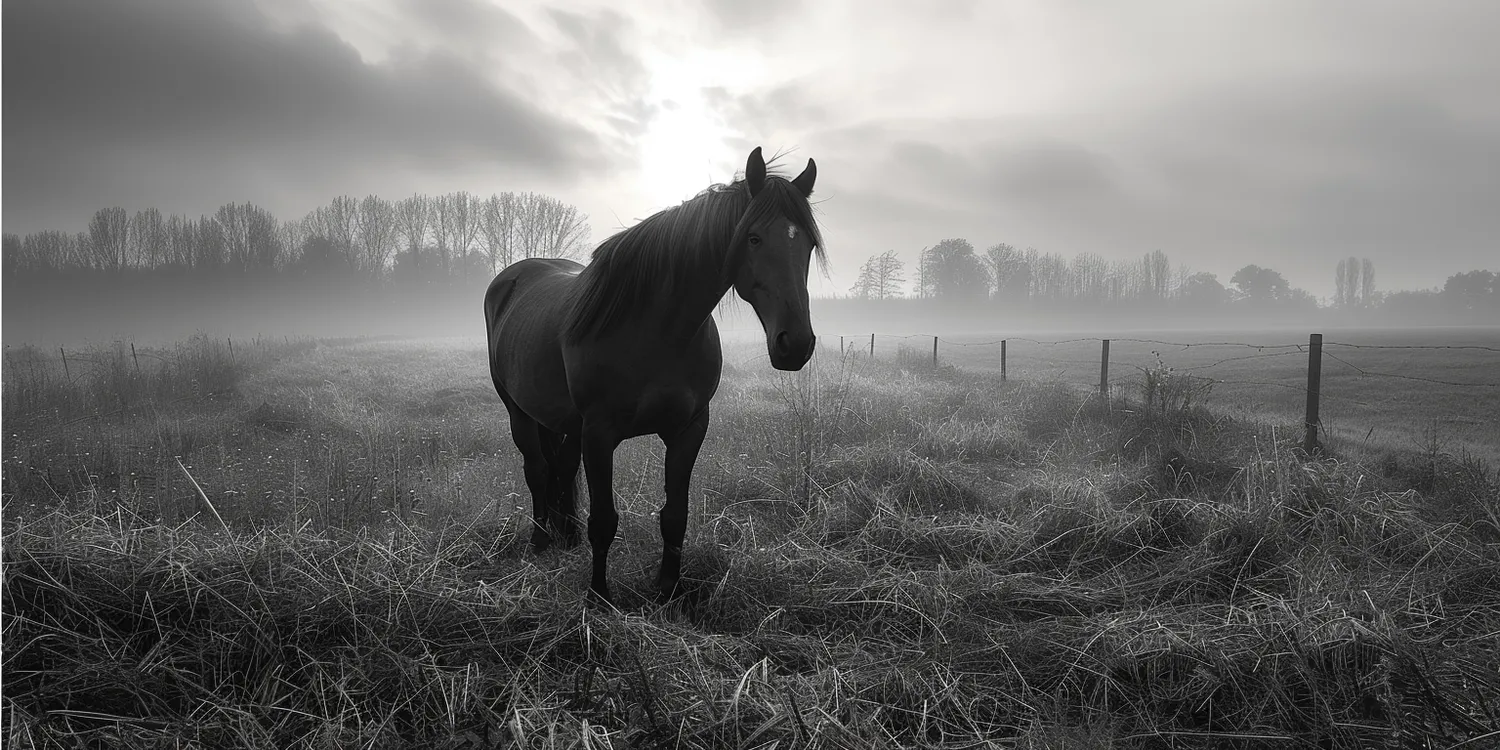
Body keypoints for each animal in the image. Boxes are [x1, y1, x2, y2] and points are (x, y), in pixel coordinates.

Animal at [486, 146, 828, 603]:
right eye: (753, 238)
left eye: (807, 244)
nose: (795, 344)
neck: (655, 329)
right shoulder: (599, 434)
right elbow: (604, 520)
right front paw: (599, 597)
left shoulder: (688, 428)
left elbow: (675, 515)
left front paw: (667, 590)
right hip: (519, 412)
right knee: (538, 471)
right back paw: (540, 541)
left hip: (565, 423)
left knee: (562, 469)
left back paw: (566, 538)